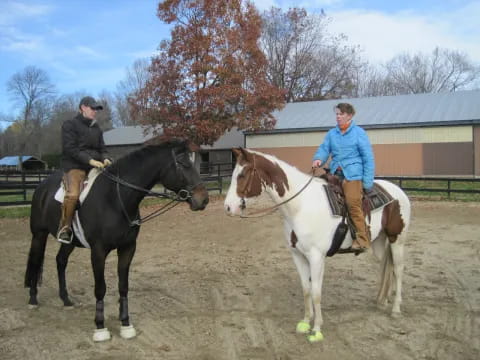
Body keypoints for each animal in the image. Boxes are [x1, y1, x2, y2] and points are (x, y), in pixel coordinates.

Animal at [23, 137, 208, 340]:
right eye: (183, 164)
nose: (203, 199)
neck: (115, 199)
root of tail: (41, 187)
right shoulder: (98, 252)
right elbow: (100, 288)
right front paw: (100, 328)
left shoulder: (128, 248)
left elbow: (123, 286)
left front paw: (126, 324)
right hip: (38, 234)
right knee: (35, 260)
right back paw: (32, 299)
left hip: (70, 242)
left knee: (60, 261)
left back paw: (66, 300)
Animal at [223, 148, 410, 342]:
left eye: (242, 174)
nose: (228, 207)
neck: (300, 206)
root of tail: (398, 191)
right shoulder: (298, 255)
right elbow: (306, 289)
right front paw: (306, 322)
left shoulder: (316, 257)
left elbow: (316, 293)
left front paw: (317, 329)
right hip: (380, 243)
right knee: (386, 267)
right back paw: (383, 300)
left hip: (397, 240)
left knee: (398, 270)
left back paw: (396, 308)